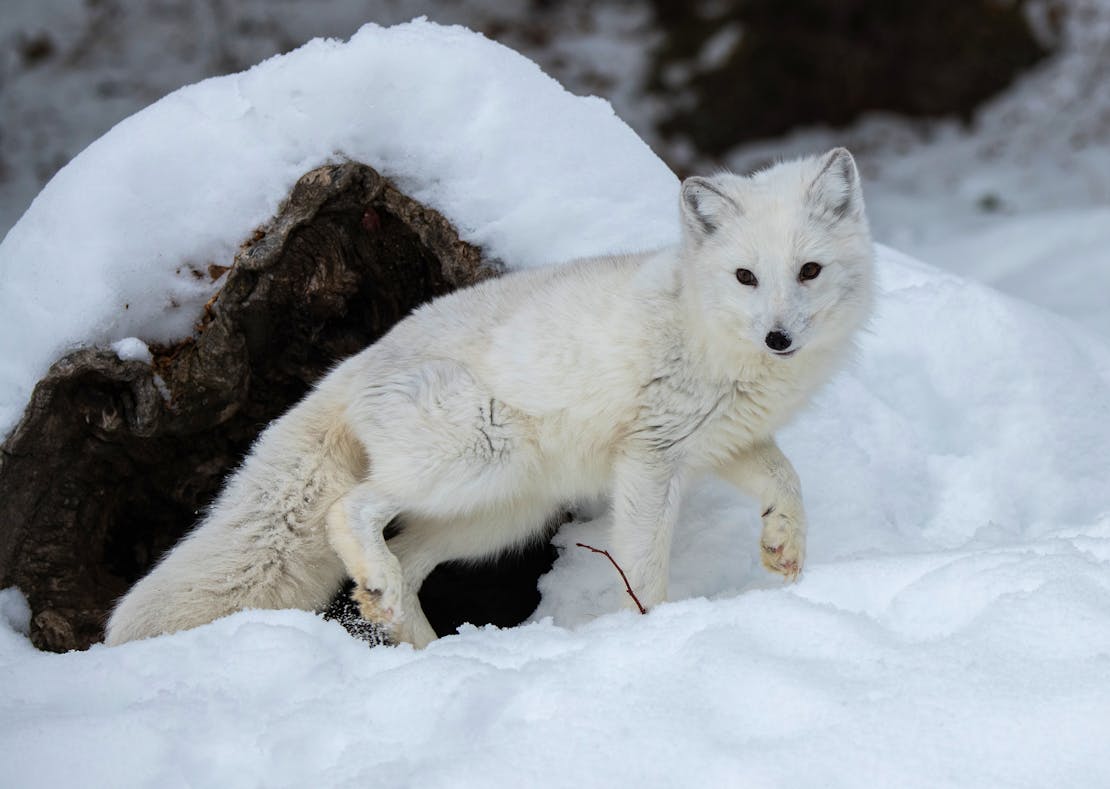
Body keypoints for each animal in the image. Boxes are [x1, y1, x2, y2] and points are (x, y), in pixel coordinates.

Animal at [105, 148, 874, 648]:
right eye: (746, 276)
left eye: (808, 271)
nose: (779, 336)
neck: (712, 336)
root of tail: (353, 365)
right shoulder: (652, 458)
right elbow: (644, 563)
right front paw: (652, 629)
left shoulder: (723, 441)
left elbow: (786, 479)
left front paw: (784, 546)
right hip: (478, 460)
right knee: (345, 509)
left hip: (499, 514)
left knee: (409, 559)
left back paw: (418, 641)